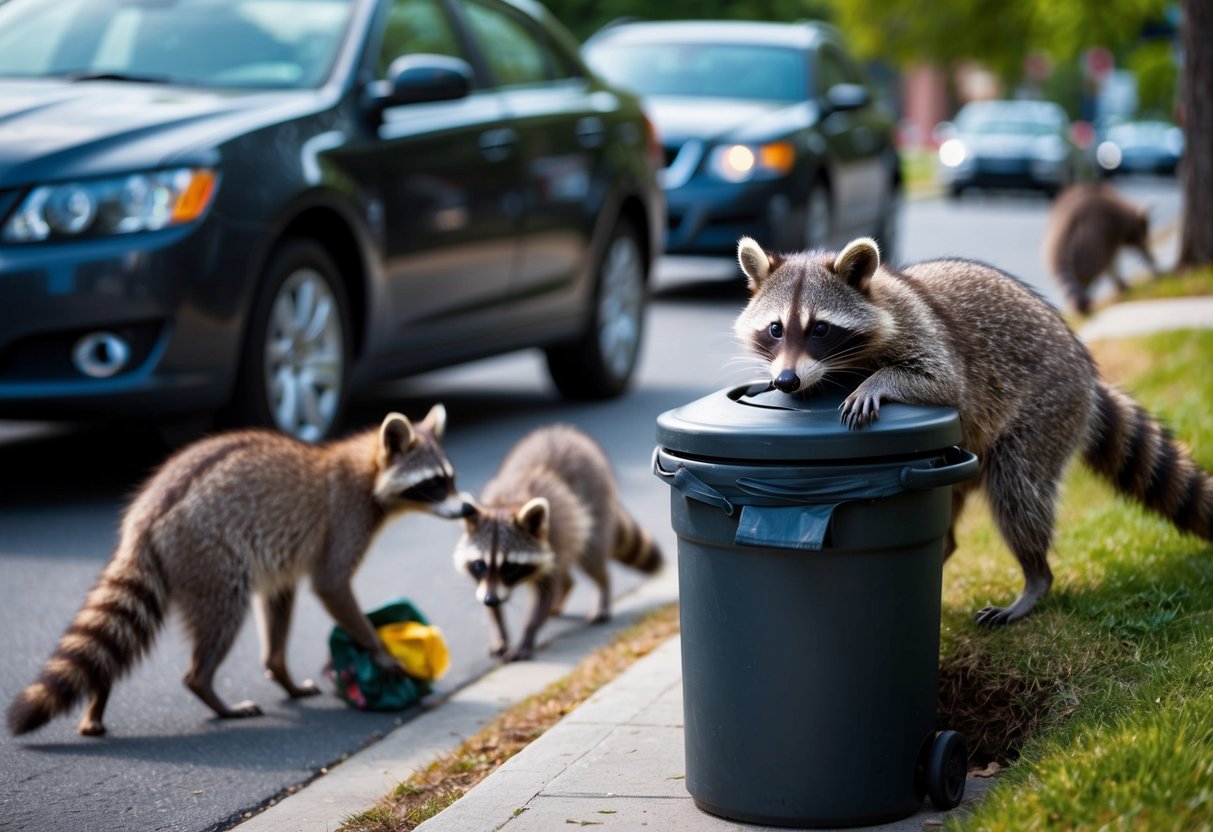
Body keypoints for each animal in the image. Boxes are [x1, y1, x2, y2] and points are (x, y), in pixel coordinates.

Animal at [8, 405, 471, 737]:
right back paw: (205, 686)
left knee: (117, 639)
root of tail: (146, 518)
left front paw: (280, 671)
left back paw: (98, 697)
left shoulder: (284, 560)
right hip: (207, 558)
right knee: (222, 617)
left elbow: (280, 601)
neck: (369, 466)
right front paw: (377, 648)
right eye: (434, 483)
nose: (466, 508)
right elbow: (332, 584)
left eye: (451, 477)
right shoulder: (345, 519)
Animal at [453, 425, 662, 661]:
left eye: (511, 566)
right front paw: (499, 631)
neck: (507, 506)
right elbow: (489, 593)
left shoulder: (554, 540)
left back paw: (602, 590)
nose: (490, 600)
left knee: (591, 559)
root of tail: (565, 431)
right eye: (480, 564)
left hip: (593, 513)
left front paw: (527, 634)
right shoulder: (486, 578)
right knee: (568, 575)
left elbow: (545, 593)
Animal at [733, 235, 1213, 627]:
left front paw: (877, 382)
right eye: (775, 328)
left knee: (1018, 491)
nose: (787, 381)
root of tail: (1086, 373)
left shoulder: (919, 330)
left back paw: (1036, 575)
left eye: (820, 329)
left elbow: (944, 381)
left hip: (1047, 409)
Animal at [1043, 181, 1158, 314]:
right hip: (1092, 246)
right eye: (1144, 228)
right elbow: (1113, 262)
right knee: (1094, 273)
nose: (1145, 238)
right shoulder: (1114, 231)